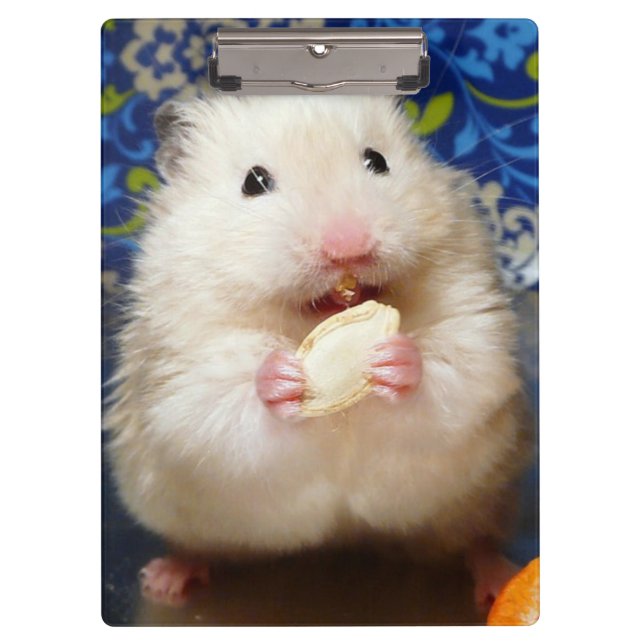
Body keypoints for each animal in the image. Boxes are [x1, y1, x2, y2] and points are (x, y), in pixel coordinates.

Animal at [105, 94, 533, 611]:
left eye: (377, 161)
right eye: (254, 182)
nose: (348, 247)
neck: (308, 322)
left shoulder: (476, 328)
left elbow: (455, 373)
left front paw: (394, 359)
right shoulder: (179, 375)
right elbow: (222, 405)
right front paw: (282, 378)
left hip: (485, 498)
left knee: (475, 540)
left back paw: (496, 579)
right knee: (196, 545)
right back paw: (164, 580)